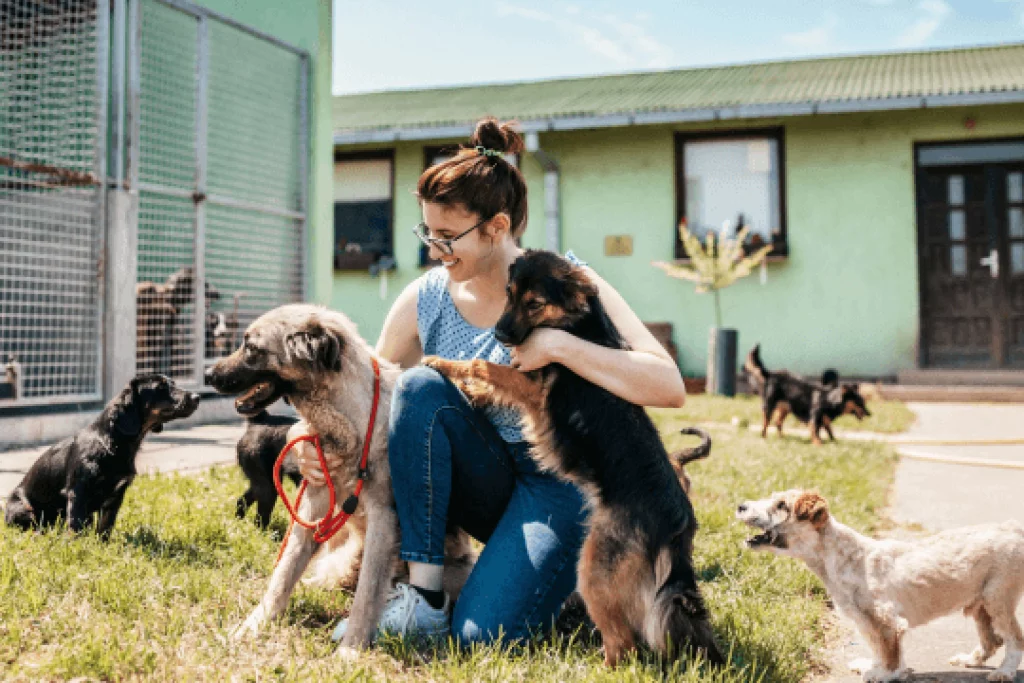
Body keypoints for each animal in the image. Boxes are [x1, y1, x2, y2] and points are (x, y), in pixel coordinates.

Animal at [4, 374, 199, 535]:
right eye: (160, 388)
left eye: (173, 383)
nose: (197, 397)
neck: (112, 444)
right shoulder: (78, 491)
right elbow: (75, 526)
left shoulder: (116, 496)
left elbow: (105, 527)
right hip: (24, 507)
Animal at [205, 304, 475, 651]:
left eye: (252, 348)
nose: (208, 375)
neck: (347, 424)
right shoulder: (313, 503)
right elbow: (284, 571)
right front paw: (255, 624)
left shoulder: (382, 520)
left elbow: (367, 594)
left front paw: (351, 647)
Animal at [422, 250, 723, 667]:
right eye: (509, 294)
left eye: (534, 303)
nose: (499, 334)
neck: (574, 323)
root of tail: (676, 521)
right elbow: (492, 378)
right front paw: (473, 392)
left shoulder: (533, 386)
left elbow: (484, 366)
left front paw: (441, 363)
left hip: (593, 569)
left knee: (624, 644)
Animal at [737, 490, 1024, 682]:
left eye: (781, 505)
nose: (740, 506)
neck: (845, 558)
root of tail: (1014, 529)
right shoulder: (866, 621)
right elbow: (876, 648)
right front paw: (873, 667)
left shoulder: (887, 621)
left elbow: (890, 653)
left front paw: (886, 674)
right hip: (981, 605)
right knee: (992, 640)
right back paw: (969, 660)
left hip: (998, 598)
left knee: (1014, 639)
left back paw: (1005, 672)